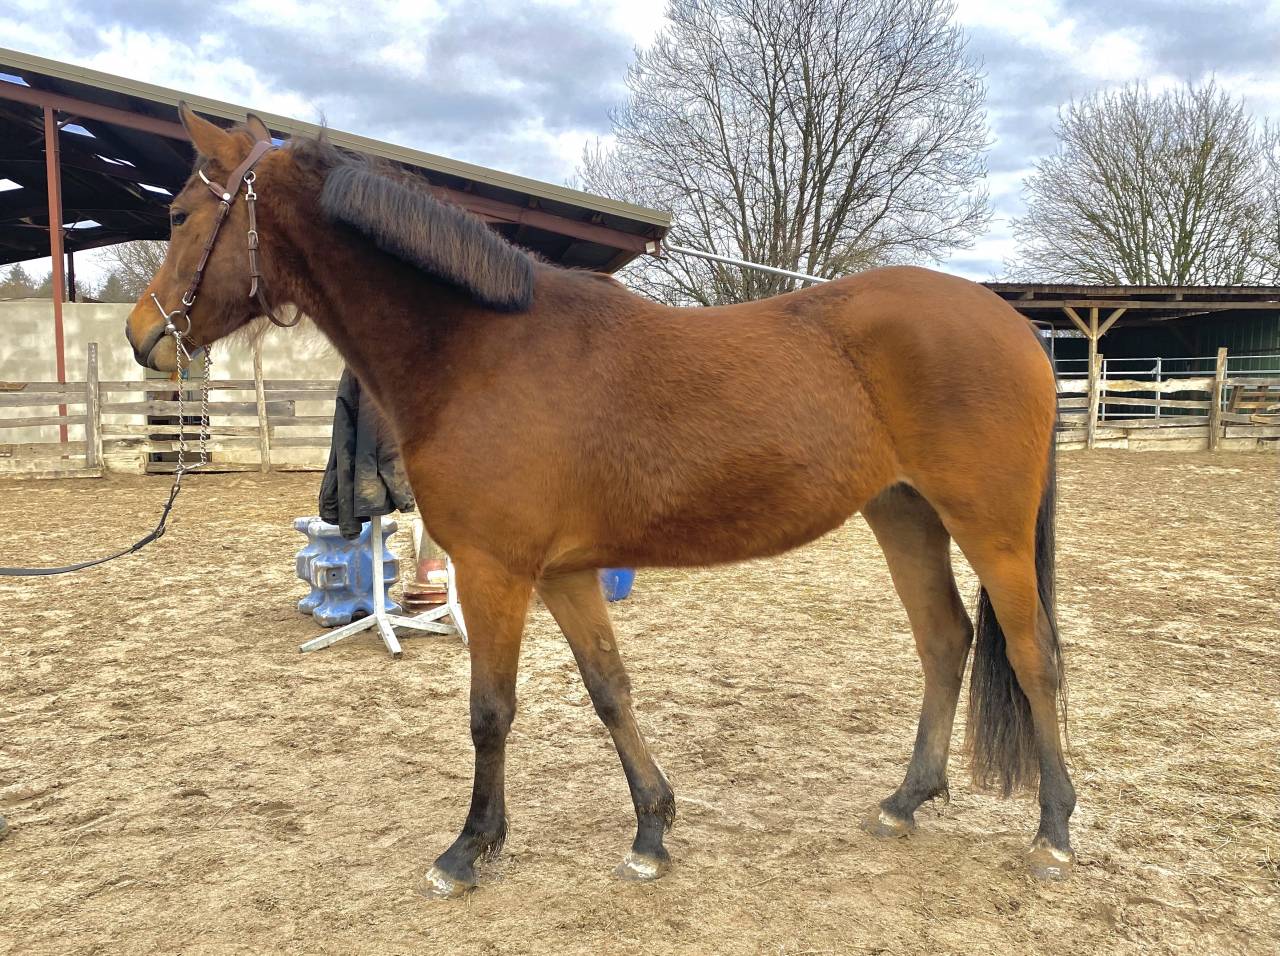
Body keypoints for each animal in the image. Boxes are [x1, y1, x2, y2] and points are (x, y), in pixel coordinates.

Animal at [125, 105, 1077, 897]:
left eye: (178, 215)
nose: (142, 337)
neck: (479, 351)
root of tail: (1015, 324)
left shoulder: (496, 571)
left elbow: (490, 713)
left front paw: (468, 850)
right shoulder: (565, 573)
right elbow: (610, 688)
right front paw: (652, 831)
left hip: (987, 527)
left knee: (1033, 657)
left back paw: (1054, 830)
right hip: (903, 513)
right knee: (945, 642)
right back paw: (906, 800)